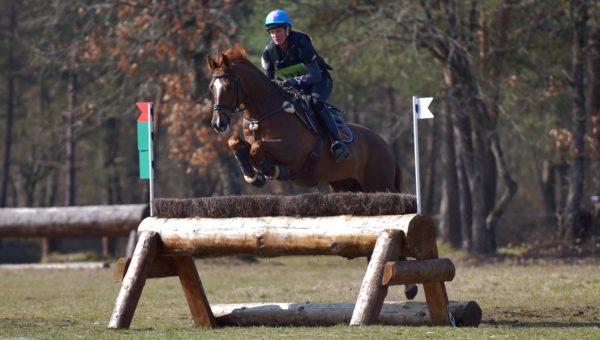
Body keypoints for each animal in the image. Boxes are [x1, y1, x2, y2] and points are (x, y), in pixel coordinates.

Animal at [206, 45, 404, 194]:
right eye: (211, 87)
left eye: (229, 86)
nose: (218, 124)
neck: (262, 115)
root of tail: (388, 148)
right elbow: (235, 142)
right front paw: (253, 176)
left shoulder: (291, 151)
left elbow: (257, 147)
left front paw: (271, 170)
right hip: (344, 184)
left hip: (378, 184)